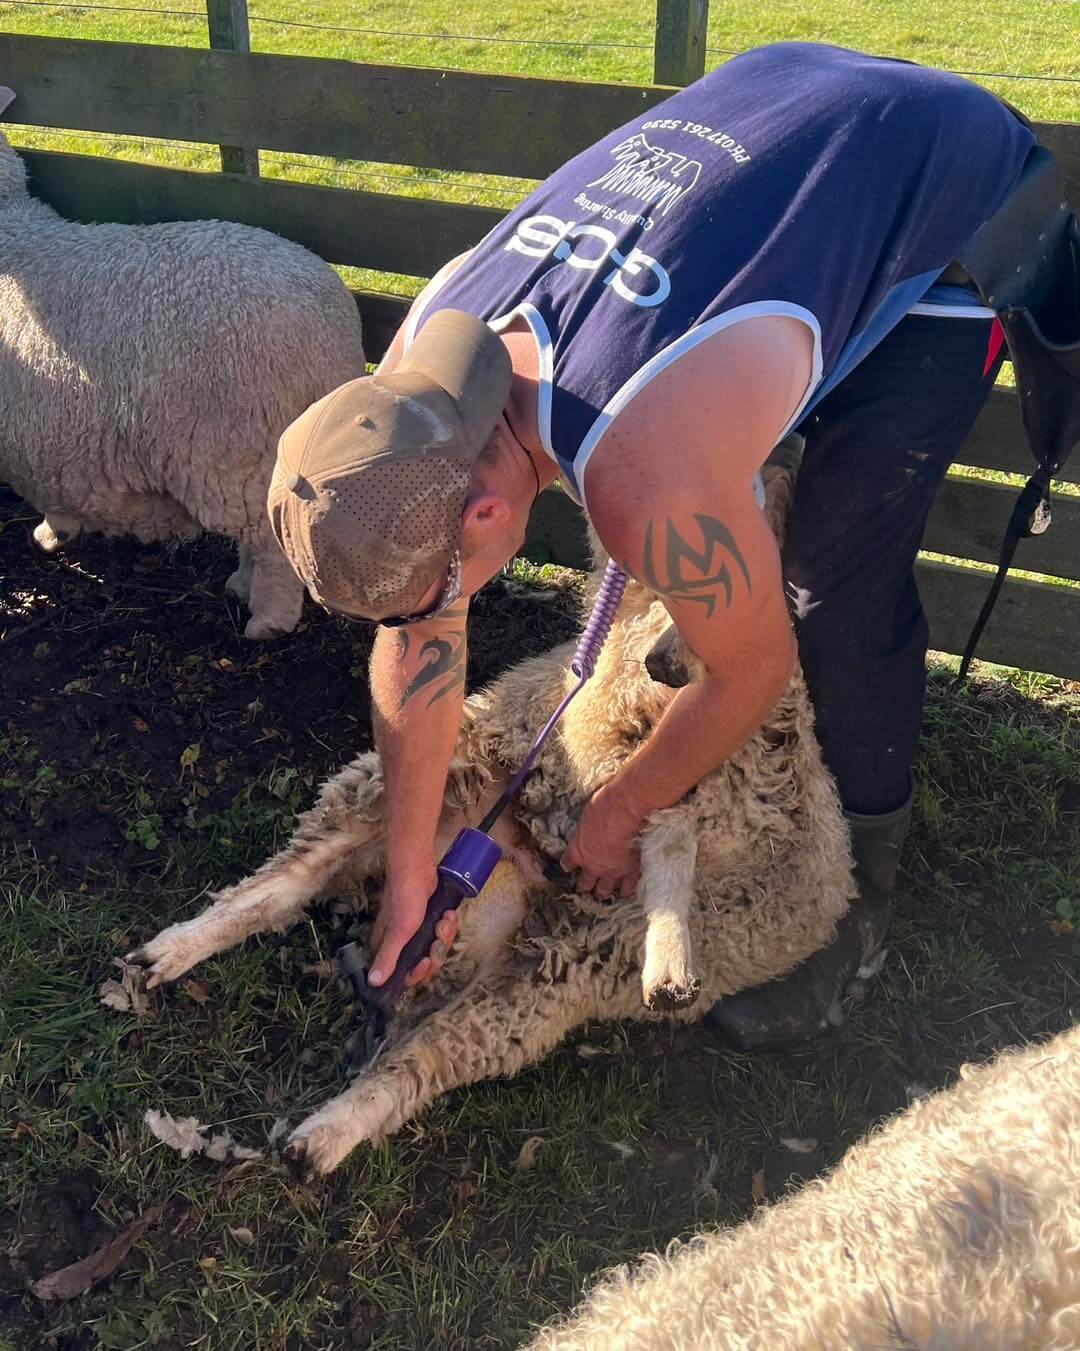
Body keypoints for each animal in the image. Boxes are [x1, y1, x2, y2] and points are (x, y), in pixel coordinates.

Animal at [0, 87, 366, 638]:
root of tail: (335, 330)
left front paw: (50, 533)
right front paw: (53, 534)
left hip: (239, 449)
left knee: (270, 545)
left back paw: (267, 621)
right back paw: (240, 587)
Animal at [128, 449, 855, 1175]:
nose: (664, 664)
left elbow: (671, 816)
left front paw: (671, 958)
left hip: (559, 968)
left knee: (426, 1052)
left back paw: (319, 1136)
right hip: (438, 777)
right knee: (283, 885)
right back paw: (166, 955)